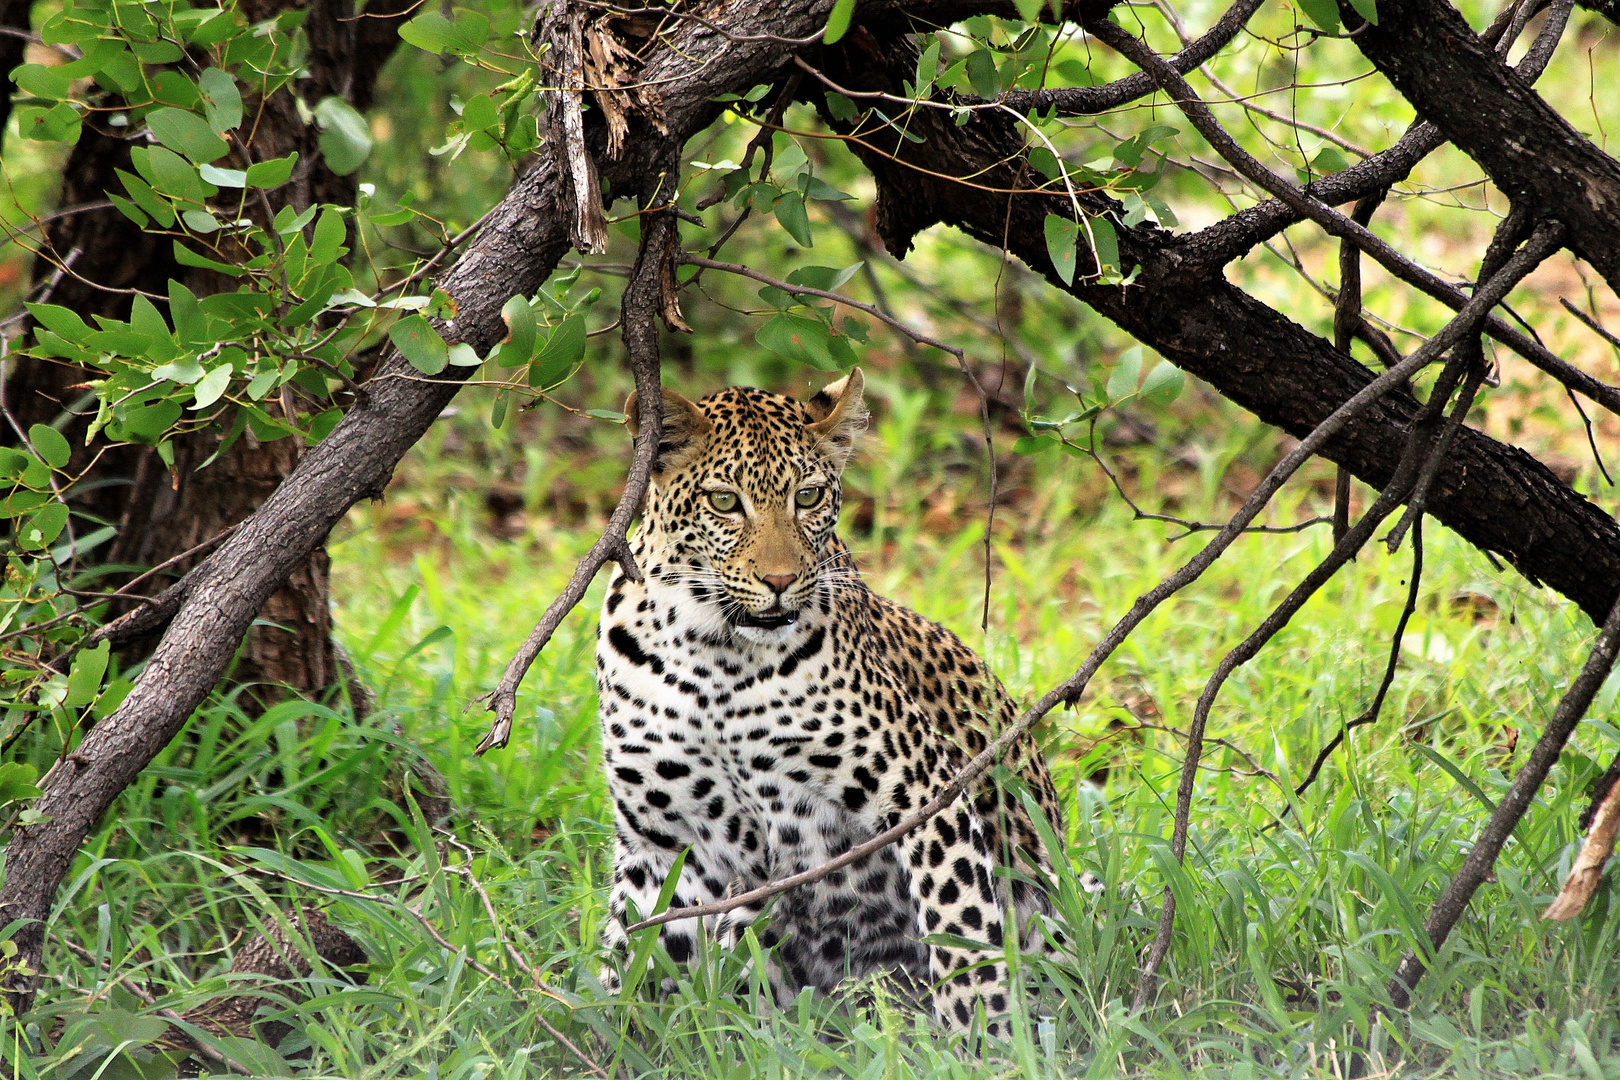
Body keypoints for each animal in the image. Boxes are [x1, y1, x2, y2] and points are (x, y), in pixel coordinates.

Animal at [589, 374, 1082, 1036]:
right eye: (723, 501)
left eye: (809, 496)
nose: (778, 581)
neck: (714, 651)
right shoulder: (662, 841)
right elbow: (634, 952)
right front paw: (601, 1034)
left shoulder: (923, 789)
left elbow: (960, 927)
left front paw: (989, 1038)